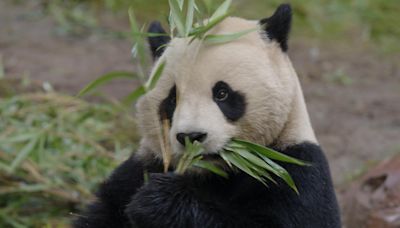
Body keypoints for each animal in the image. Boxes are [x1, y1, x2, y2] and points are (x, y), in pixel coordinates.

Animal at [72, 4, 340, 228]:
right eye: (173, 98)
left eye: (222, 93)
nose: (191, 136)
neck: (209, 172)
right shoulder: (141, 167)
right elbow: (105, 211)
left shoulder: (293, 169)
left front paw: (159, 201)